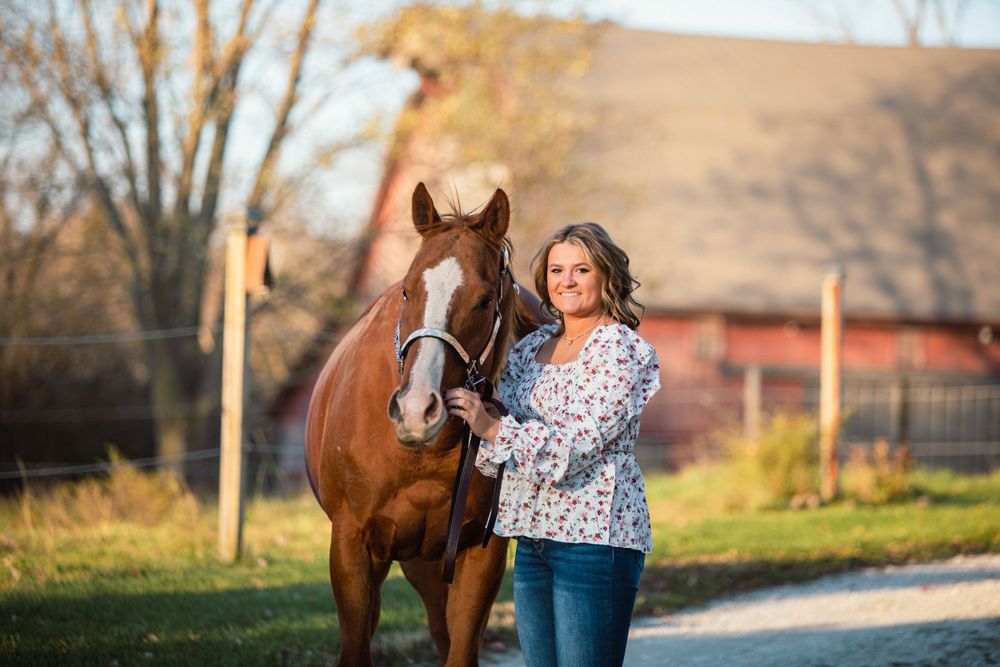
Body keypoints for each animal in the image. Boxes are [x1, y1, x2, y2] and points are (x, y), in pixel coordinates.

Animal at [305, 182, 544, 666]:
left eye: (485, 300)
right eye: (407, 292)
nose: (417, 410)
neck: (422, 454)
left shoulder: (480, 552)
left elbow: (460, 647)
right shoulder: (351, 544)